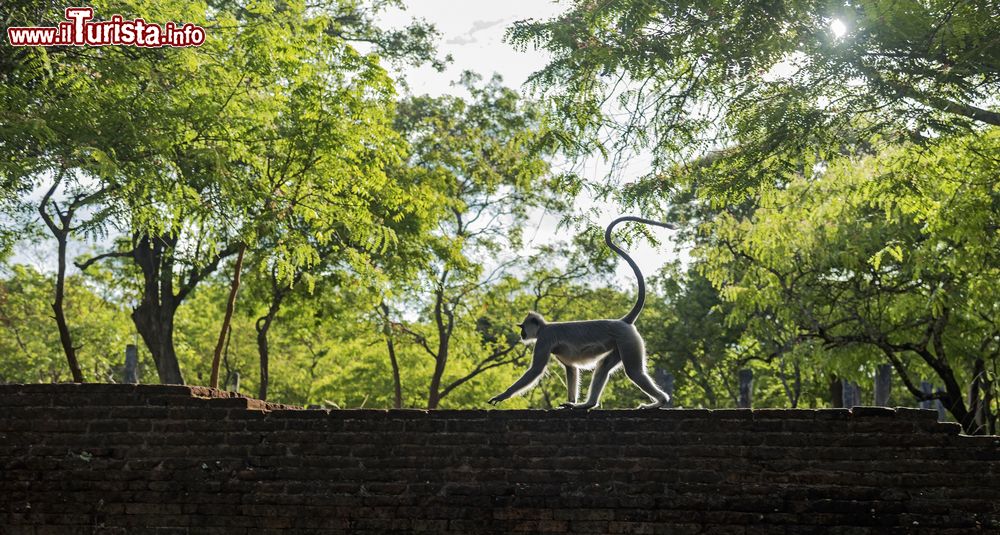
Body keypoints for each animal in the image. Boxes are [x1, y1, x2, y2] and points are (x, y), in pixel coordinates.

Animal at [488, 217, 676, 410]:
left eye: (523, 327)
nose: (521, 334)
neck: (544, 328)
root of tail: (623, 321)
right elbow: (571, 369)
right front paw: (570, 402)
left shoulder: (544, 339)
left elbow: (535, 371)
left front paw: (503, 395)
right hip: (620, 343)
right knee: (603, 366)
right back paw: (588, 404)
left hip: (628, 340)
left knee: (633, 372)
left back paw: (660, 401)